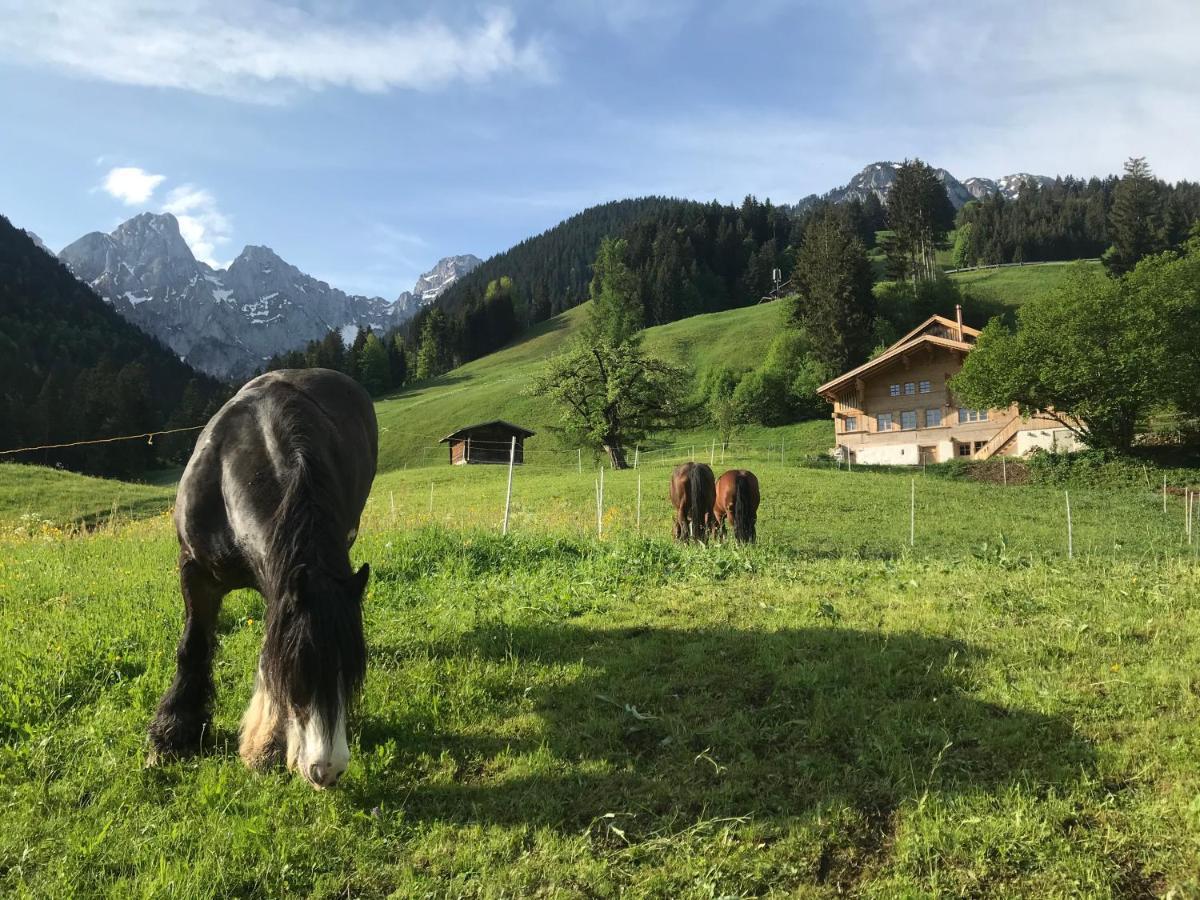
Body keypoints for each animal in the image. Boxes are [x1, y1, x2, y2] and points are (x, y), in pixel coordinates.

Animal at [148, 367, 376, 787]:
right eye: (299, 673)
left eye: (350, 675)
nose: (327, 770)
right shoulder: (195, 571)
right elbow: (193, 646)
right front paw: (173, 732)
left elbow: (267, 650)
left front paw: (265, 742)